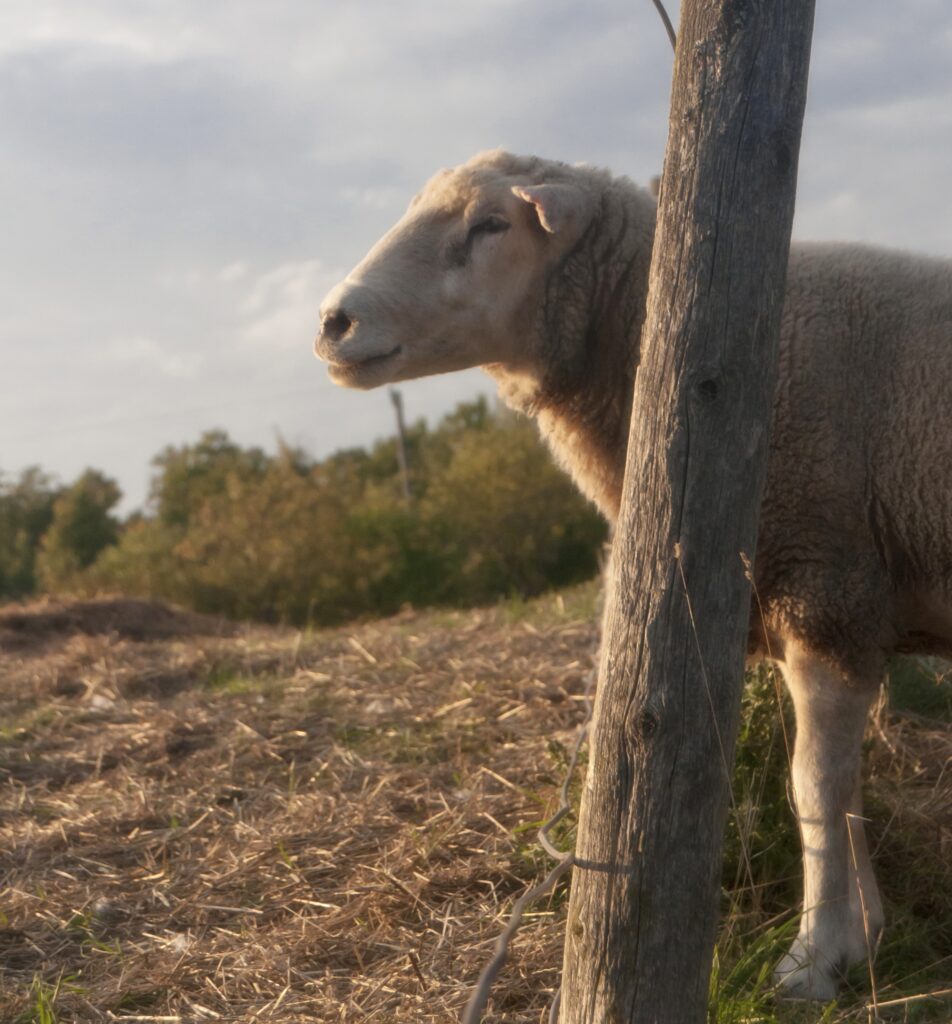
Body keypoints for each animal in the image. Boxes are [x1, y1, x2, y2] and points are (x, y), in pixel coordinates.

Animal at [314, 149, 952, 999]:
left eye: (491, 225)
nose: (333, 321)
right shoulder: (825, 605)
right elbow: (842, 790)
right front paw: (864, 938)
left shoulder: (827, 589)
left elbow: (812, 787)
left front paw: (813, 959)